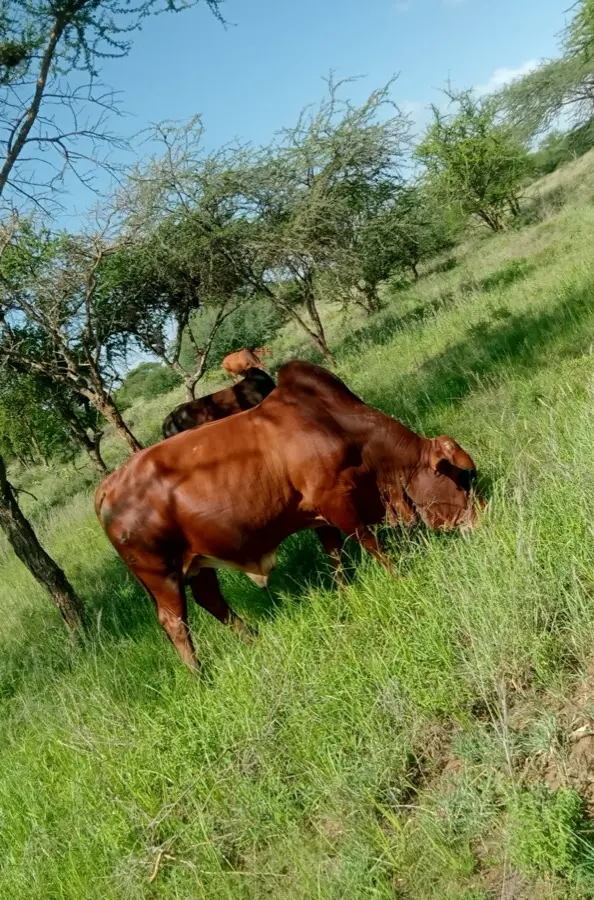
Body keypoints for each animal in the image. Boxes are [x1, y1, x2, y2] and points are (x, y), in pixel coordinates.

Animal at [95, 361, 480, 670]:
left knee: (211, 601)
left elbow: (335, 556)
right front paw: (399, 578)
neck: (337, 425)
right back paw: (200, 674)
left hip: (198, 563)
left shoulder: (319, 514)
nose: (480, 521)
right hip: (162, 575)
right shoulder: (337, 502)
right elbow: (370, 544)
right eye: (464, 477)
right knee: (175, 623)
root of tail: (109, 485)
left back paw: (251, 637)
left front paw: (346, 592)